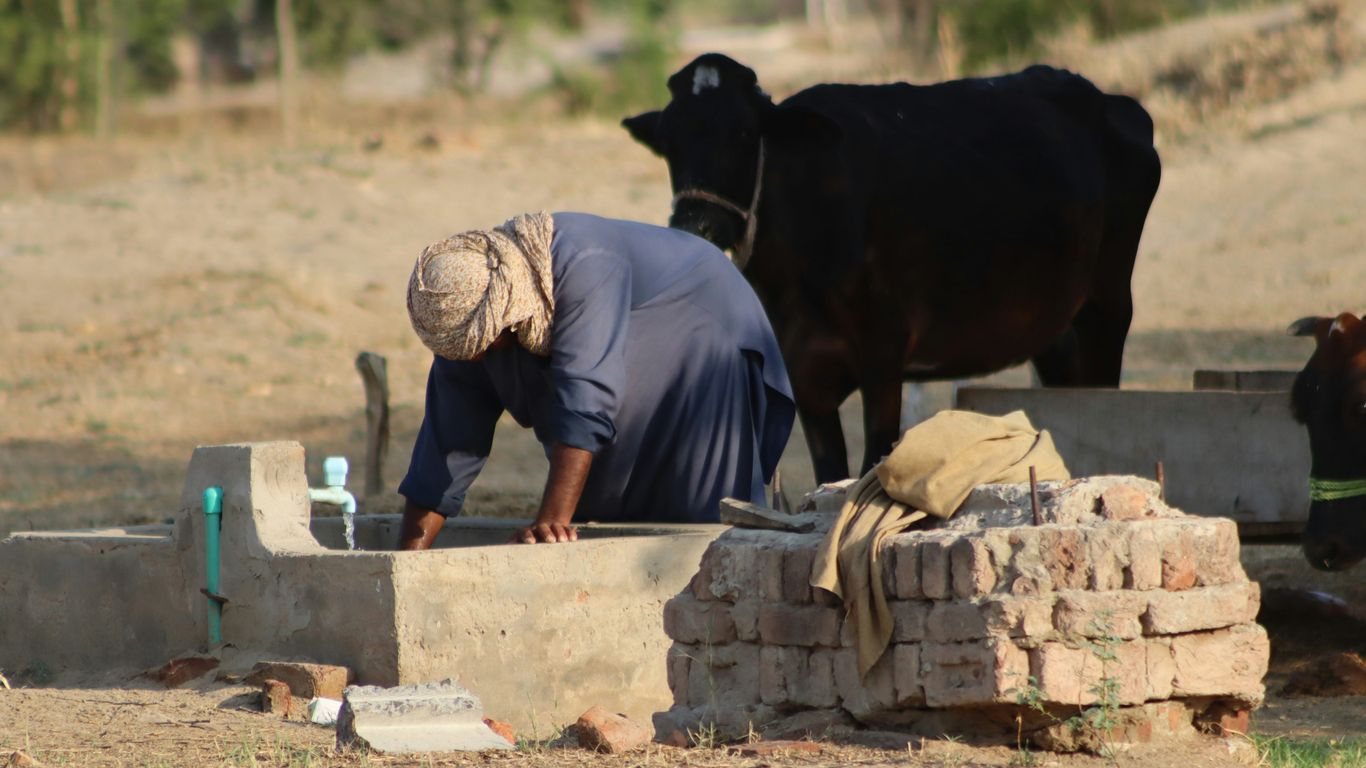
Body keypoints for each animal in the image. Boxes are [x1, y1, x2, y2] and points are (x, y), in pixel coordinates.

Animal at [623, 53, 1162, 483]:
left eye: (741, 132)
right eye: (668, 141)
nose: (696, 226)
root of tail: (1113, 103)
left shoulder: (883, 358)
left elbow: (869, 468)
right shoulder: (805, 376)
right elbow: (830, 477)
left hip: (1108, 306)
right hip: (1051, 329)